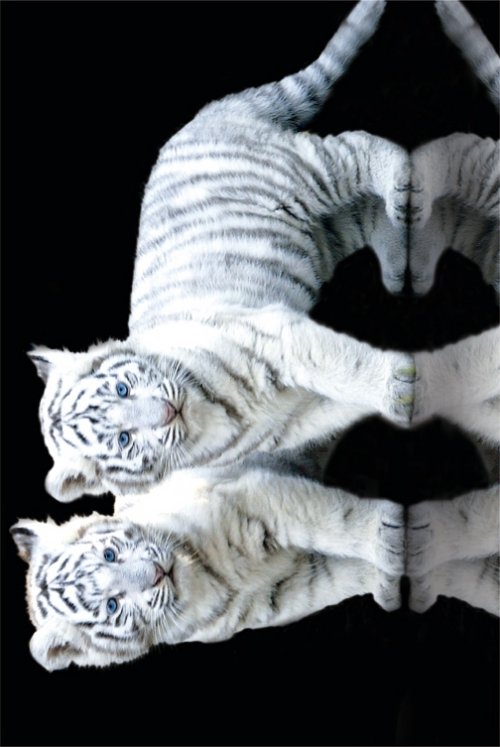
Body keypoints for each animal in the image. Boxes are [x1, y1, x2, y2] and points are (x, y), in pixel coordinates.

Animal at [11, 463, 406, 670]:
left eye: (109, 554)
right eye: (112, 605)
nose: (157, 574)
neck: (206, 577)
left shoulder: (253, 501)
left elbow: (334, 519)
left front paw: (387, 533)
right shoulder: (280, 594)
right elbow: (334, 579)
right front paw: (387, 578)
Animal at [29, 0, 421, 503]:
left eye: (120, 388)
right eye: (123, 439)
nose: (167, 412)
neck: (210, 416)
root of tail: (204, 116)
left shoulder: (276, 334)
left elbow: (340, 362)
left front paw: (398, 390)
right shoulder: (292, 423)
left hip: (305, 174)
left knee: (362, 146)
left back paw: (404, 183)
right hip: (324, 231)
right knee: (368, 213)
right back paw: (398, 263)